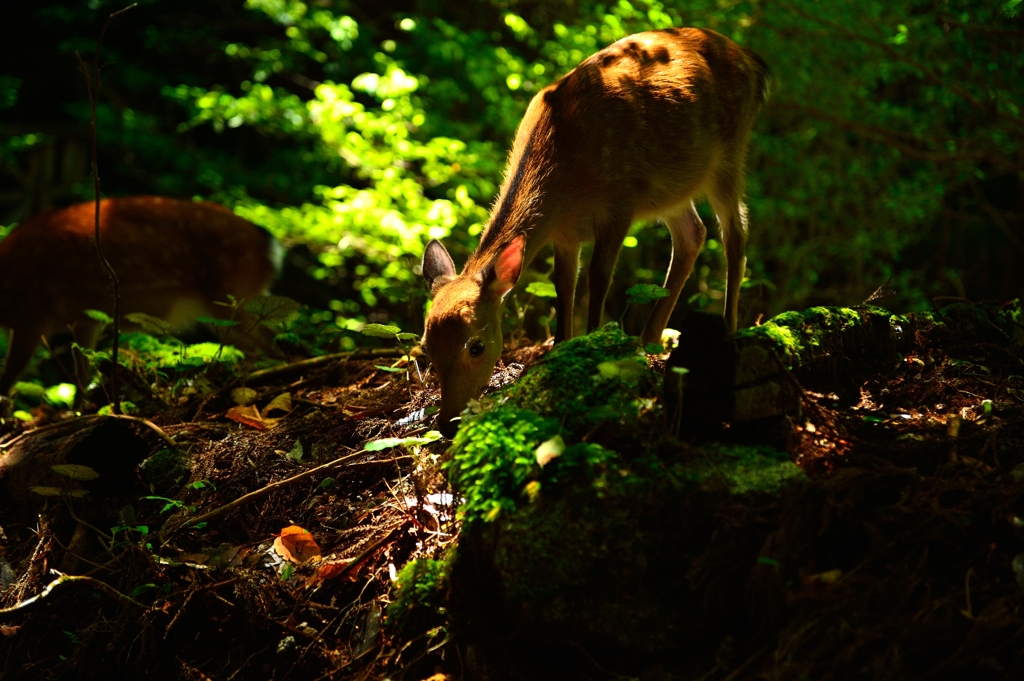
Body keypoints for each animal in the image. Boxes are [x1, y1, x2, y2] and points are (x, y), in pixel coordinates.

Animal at [0, 193, 280, 395]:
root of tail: (269, 245)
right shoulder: (85, 319)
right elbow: (83, 375)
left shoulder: (30, 315)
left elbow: (7, 379)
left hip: (231, 296)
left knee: (268, 344)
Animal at [417, 27, 770, 436]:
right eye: (427, 348)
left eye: (476, 346)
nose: (447, 422)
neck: (562, 178)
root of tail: (754, 61)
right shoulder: (565, 234)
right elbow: (564, 286)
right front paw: (560, 348)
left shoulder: (620, 203)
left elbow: (598, 279)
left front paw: (593, 344)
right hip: (674, 189)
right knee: (693, 235)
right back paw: (649, 340)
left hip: (730, 155)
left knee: (736, 236)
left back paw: (729, 327)